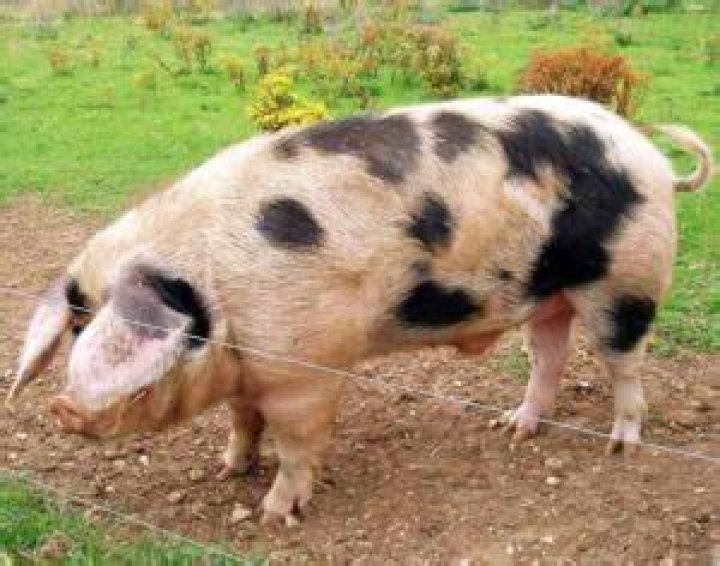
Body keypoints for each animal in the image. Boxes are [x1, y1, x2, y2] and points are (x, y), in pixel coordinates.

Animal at [8, 95, 714, 525]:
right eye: (79, 323)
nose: (61, 407)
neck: (223, 298)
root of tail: (651, 157)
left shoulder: (305, 372)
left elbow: (297, 445)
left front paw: (273, 513)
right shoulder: (250, 372)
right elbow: (242, 420)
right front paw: (229, 468)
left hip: (625, 278)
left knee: (625, 363)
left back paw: (621, 447)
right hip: (549, 295)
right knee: (548, 355)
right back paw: (514, 429)